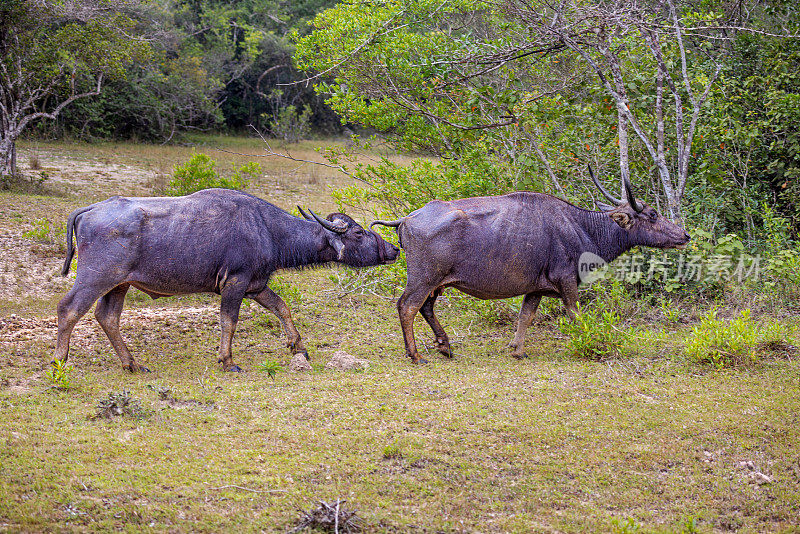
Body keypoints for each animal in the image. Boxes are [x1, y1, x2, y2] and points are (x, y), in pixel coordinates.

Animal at [54, 188, 400, 372]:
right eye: (358, 232)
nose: (393, 249)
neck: (266, 228)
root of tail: (90, 210)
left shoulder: (256, 286)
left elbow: (282, 307)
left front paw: (298, 347)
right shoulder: (235, 283)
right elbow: (228, 321)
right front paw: (227, 360)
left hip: (119, 285)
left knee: (107, 317)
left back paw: (132, 364)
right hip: (96, 278)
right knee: (68, 309)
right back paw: (59, 361)